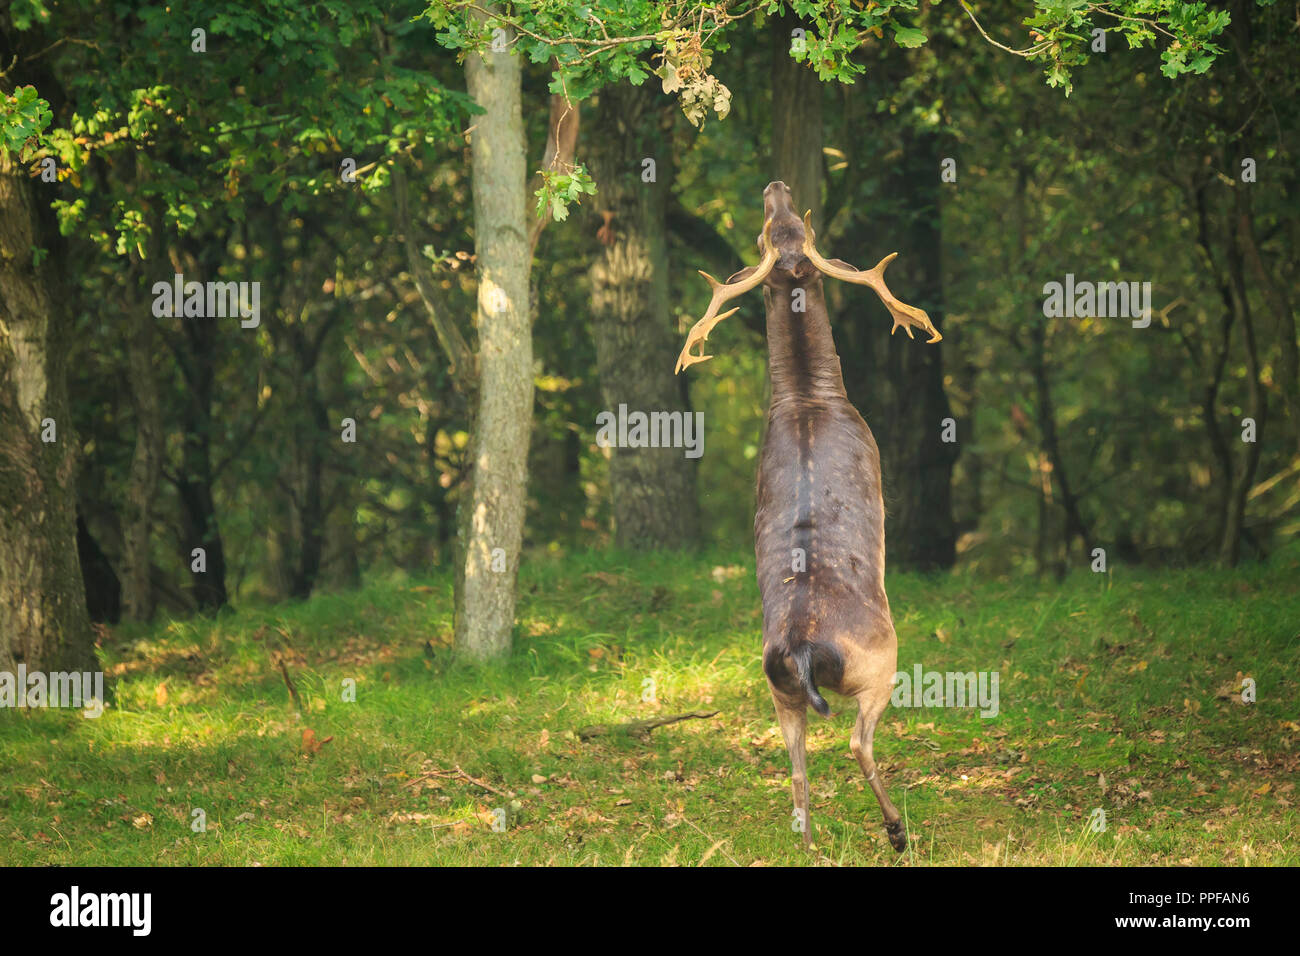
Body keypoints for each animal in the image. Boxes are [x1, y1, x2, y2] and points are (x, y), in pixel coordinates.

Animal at [676, 179, 941, 853]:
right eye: (764, 233)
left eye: (788, 225)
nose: (776, 186)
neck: (810, 397)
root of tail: (799, 650)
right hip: (879, 663)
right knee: (856, 743)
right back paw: (898, 832)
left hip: (778, 690)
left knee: (795, 768)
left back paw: (810, 844)